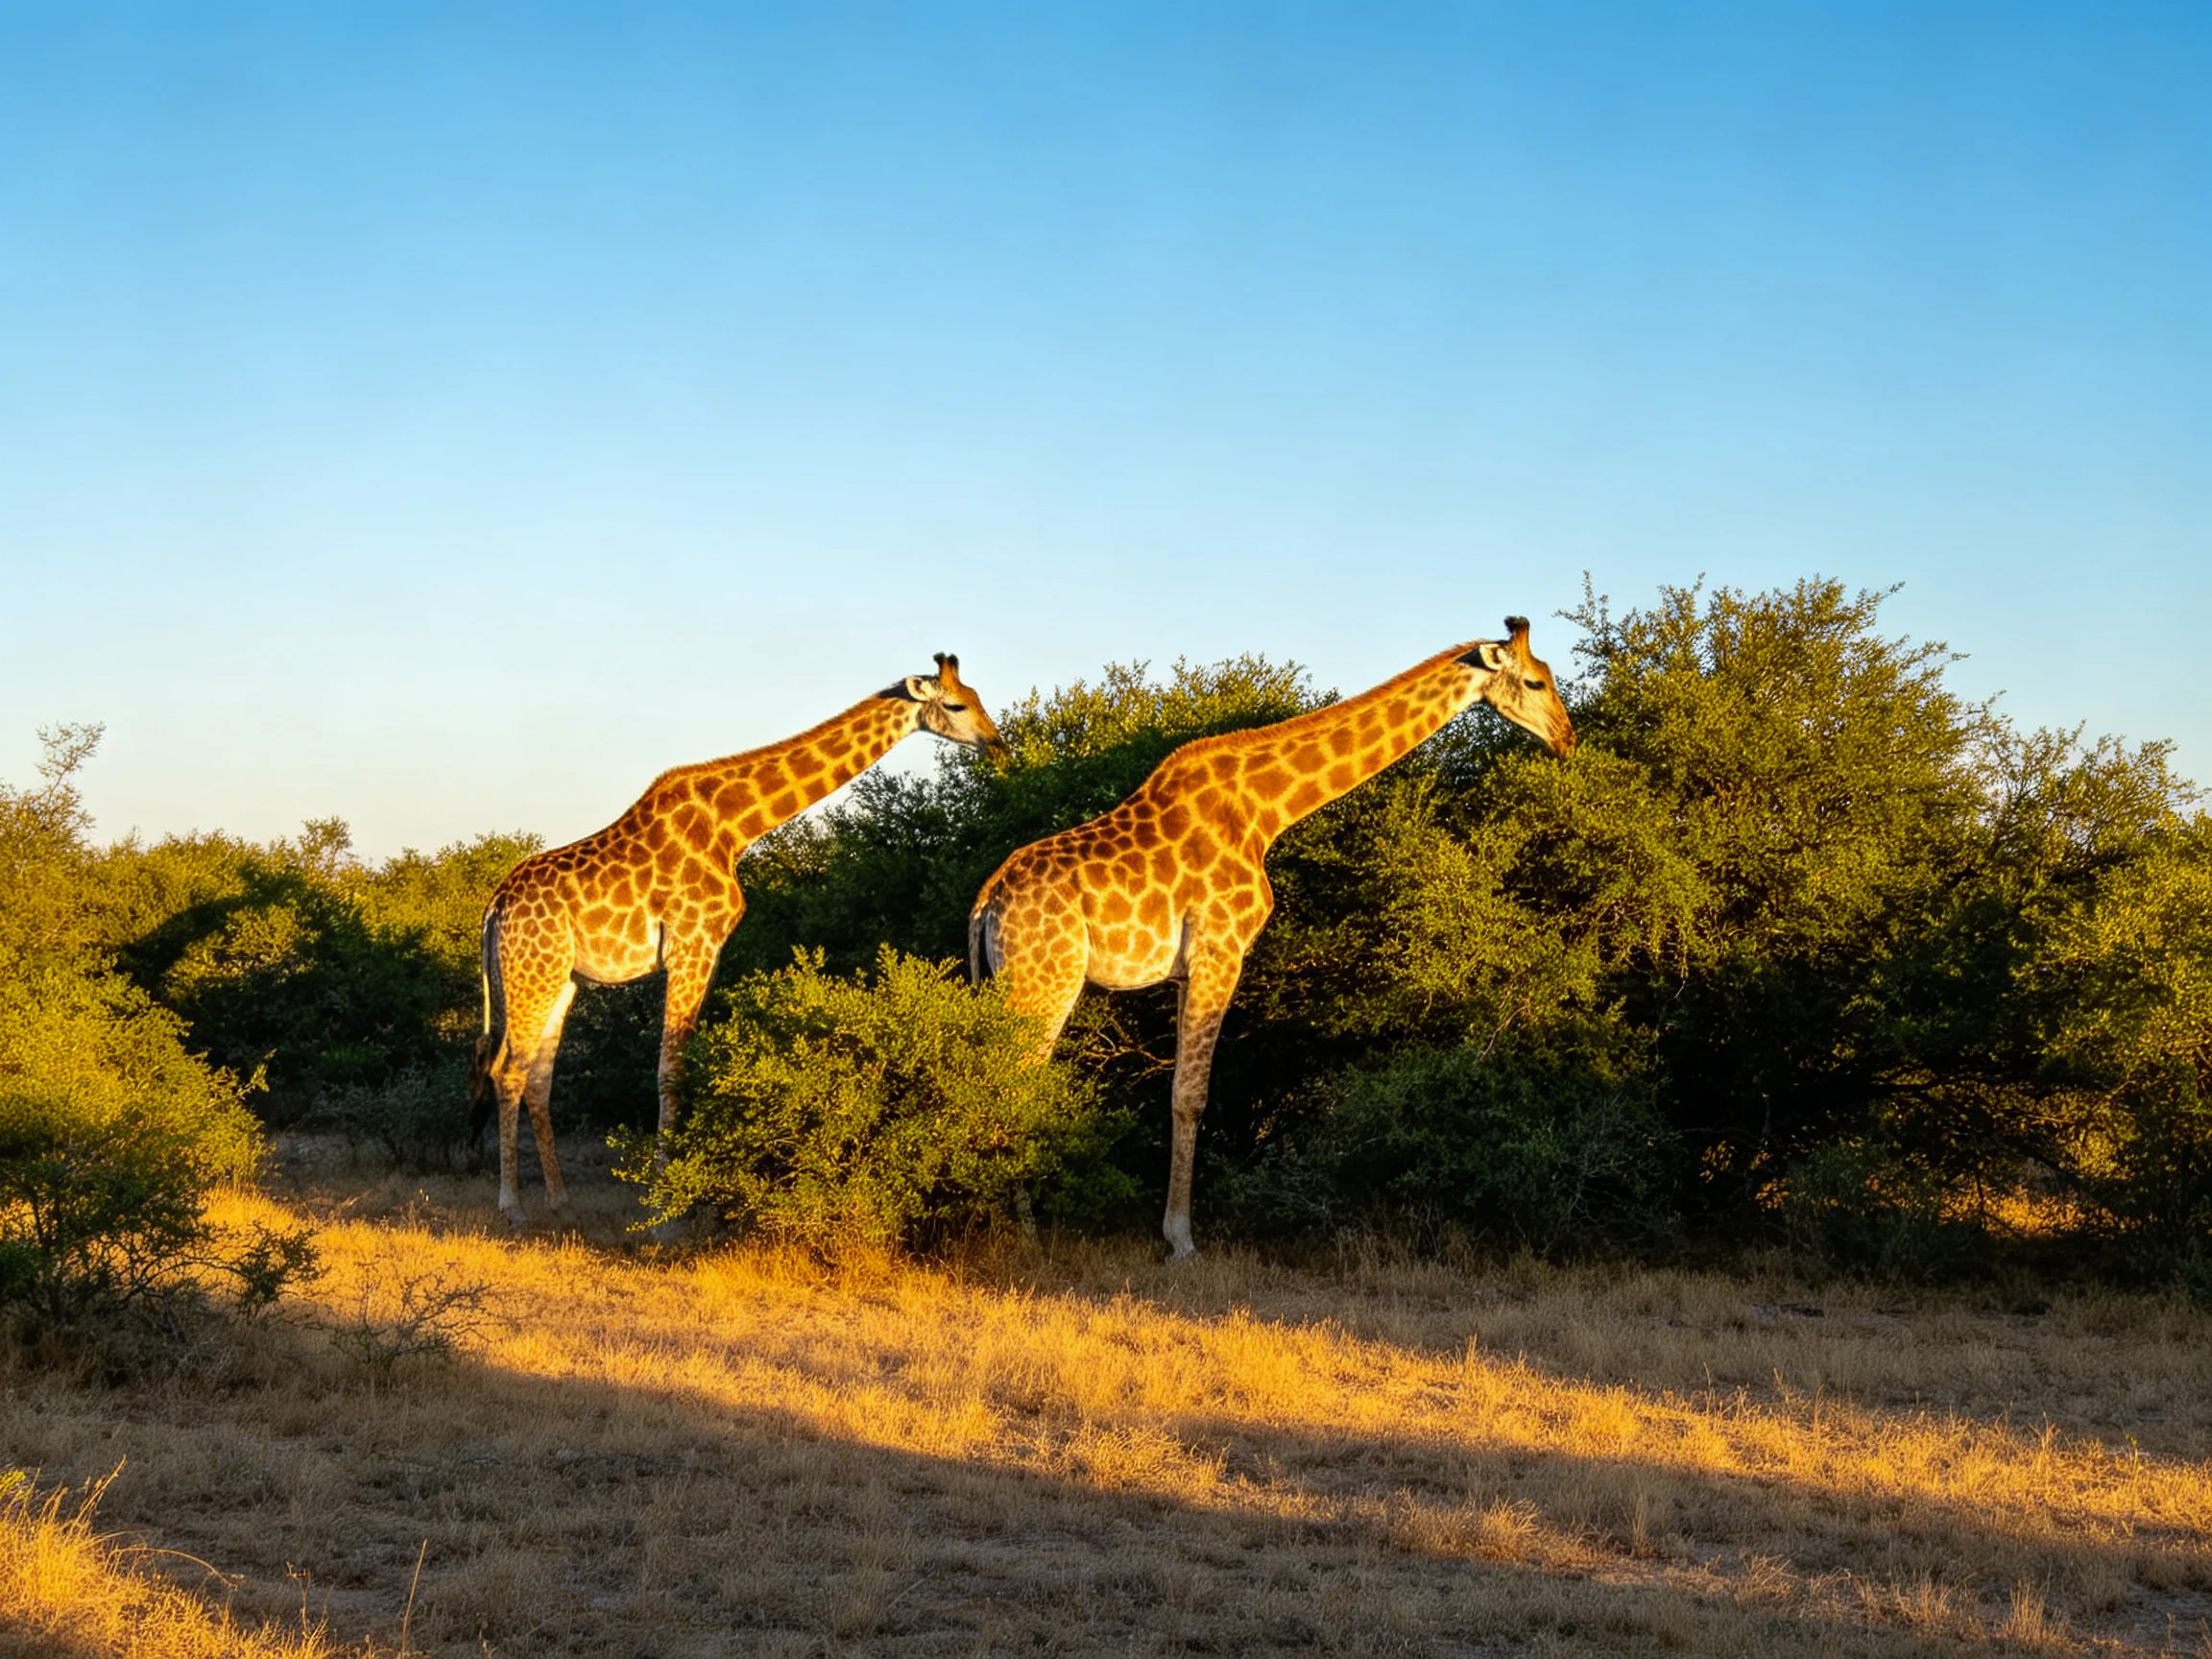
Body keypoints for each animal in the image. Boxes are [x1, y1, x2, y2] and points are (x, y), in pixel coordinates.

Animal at [474, 653, 1006, 1223]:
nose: (996, 744)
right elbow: (670, 1069)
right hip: (531, 969)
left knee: (538, 1075)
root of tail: (495, 905)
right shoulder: (693, 942)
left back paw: (559, 1198)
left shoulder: (709, 949)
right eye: (956, 705)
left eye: (977, 697)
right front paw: (667, 1204)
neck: (735, 827)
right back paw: (511, 1205)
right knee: (507, 1070)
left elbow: (682, 1064)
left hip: (562, 976)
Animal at [969, 619, 1575, 1258]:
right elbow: (1190, 1096)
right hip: (1046, 979)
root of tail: (987, 901)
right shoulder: (1221, 948)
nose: (1566, 737)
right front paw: (1182, 1238)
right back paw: (1022, 1234)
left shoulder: (1187, 970)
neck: (1265, 811)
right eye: (1536, 681)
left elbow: (1181, 1090)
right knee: (1008, 1084)